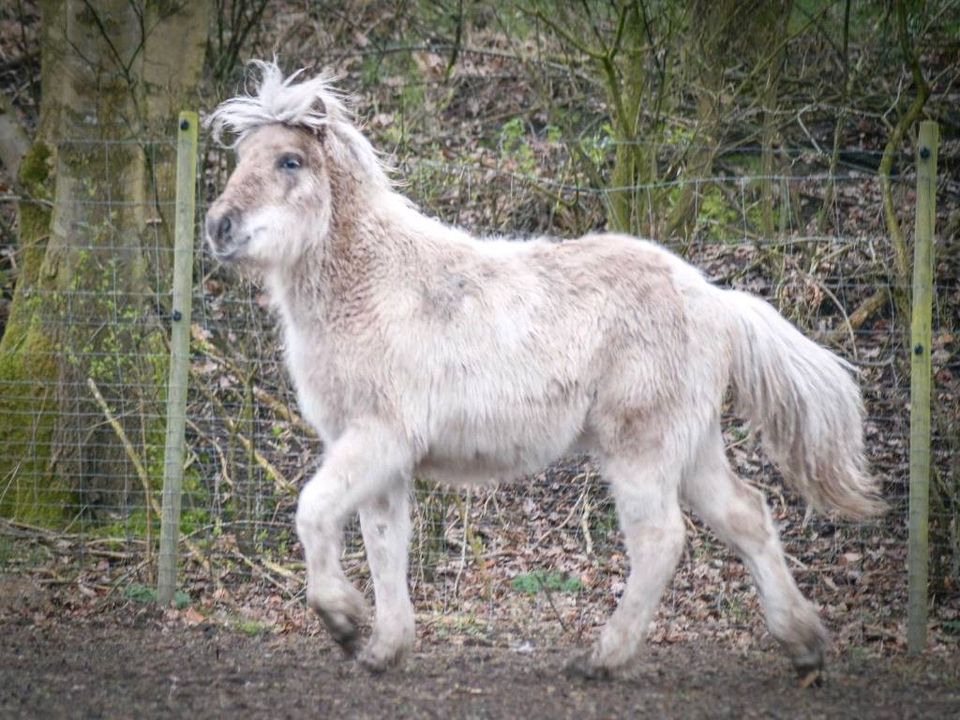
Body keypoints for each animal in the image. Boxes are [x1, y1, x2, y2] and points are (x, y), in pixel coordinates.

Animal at [204, 62, 884, 680]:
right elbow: (385, 544)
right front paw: (383, 649)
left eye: (290, 161)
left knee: (661, 539)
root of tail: (714, 298)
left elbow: (313, 510)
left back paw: (603, 659)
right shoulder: (378, 452)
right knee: (747, 516)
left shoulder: (380, 436)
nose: (218, 226)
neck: (375, 284)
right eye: (241, 156)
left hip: (640, 446)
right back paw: (804, 646)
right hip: (691, 445)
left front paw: (343, 620)